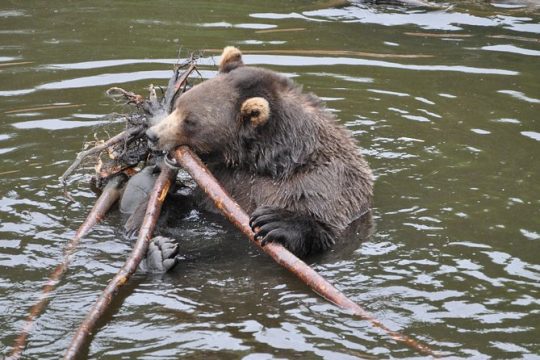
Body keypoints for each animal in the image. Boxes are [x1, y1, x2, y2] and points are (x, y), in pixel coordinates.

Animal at [146, 46, 374, 258]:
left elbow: (323, 224)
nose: (152, 134)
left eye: (191, 121)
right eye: (178, 105)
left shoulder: (324, 182)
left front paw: (273, 221)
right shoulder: (225, 181)